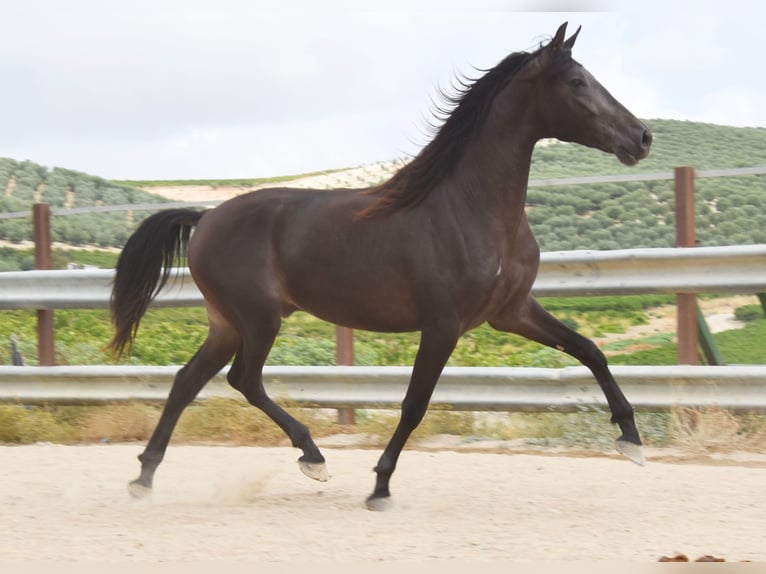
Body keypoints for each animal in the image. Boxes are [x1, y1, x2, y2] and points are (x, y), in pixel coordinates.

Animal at [110, 22, 652, 510]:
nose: (642, 137)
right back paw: (313, 457)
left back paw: (143, 479)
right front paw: (380, 486)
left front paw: (631, 440)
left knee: (187, 381)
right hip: (257, 319)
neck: (471, 208)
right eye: (577, 81)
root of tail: (205, 218)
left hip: (227, 323)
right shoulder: (443, 325)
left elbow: (590, 351)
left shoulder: (511, 312)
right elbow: (414, 404)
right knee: (243, 380)